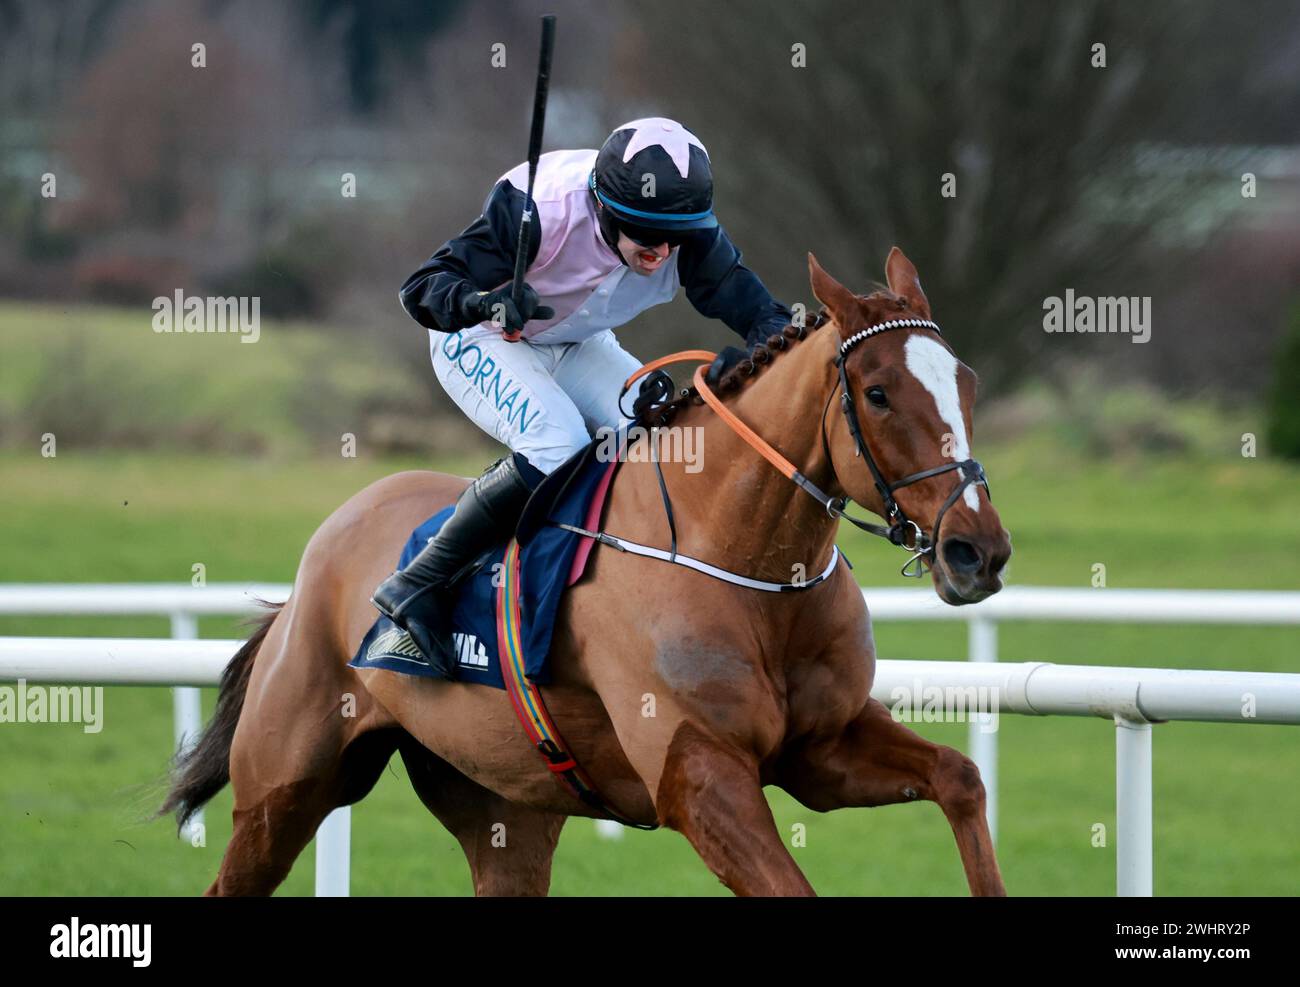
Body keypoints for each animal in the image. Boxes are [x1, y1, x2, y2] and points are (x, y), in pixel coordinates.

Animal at [162, 247, 1013, 894]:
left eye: (967, 382)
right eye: (878, 392)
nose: (978, 550)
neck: (750, 565)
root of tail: (313, 571)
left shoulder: (822, 747)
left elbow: (961, 777)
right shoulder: (699, 776)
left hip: (505, 809)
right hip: (283, 790)